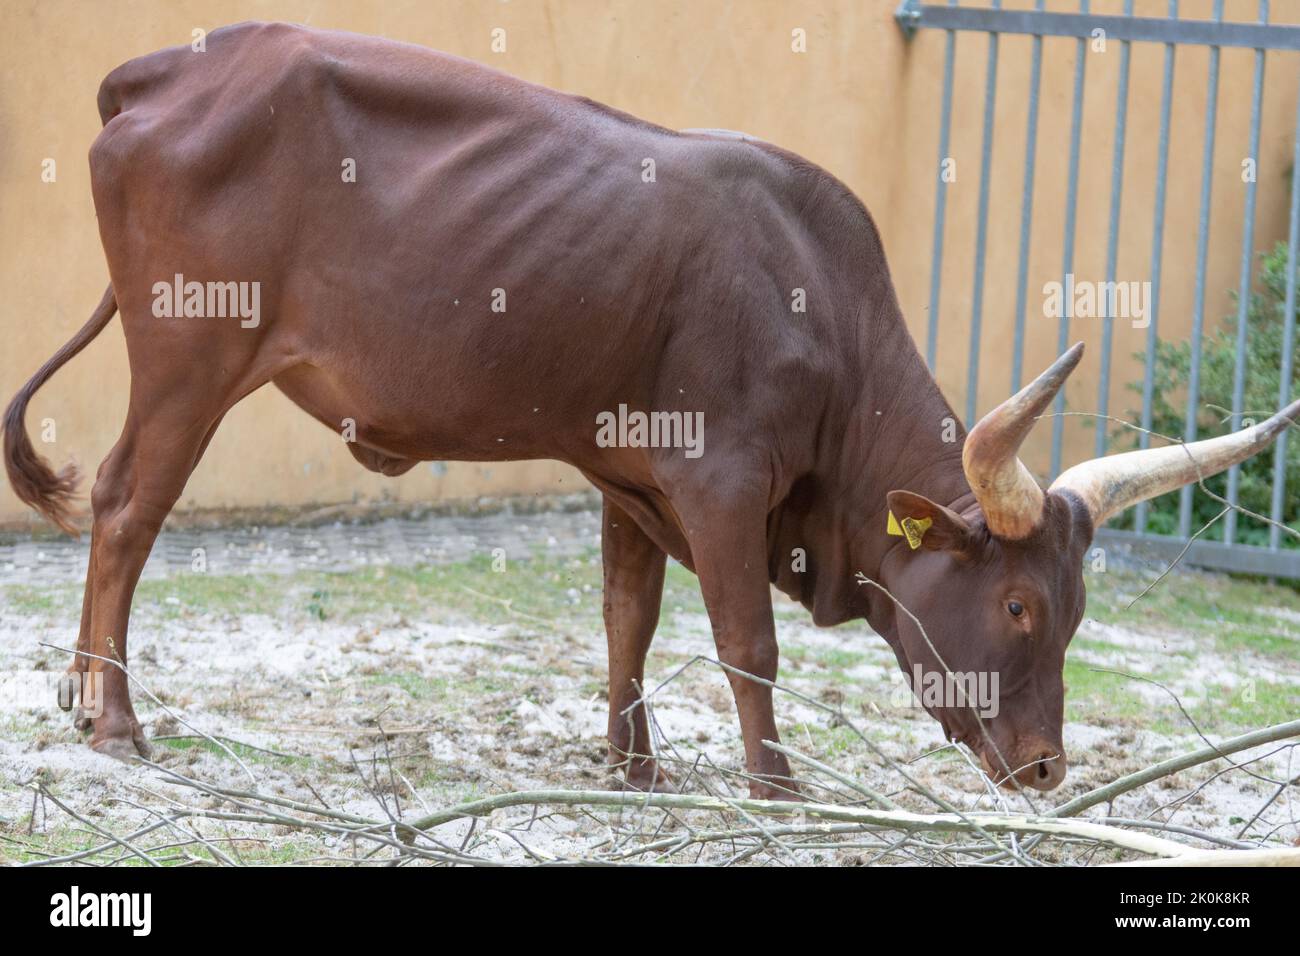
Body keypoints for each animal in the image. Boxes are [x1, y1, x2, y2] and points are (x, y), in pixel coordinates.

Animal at [2, 24, 1300, 801]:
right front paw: (773, 782)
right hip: (189, 363)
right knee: (125, 510)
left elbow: (627, 620)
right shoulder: (722, 486)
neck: (816, 303)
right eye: (1019, 603)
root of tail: (176, 69)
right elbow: (746, 643)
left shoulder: (627, 479)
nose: (1041, 768)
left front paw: (632, 764)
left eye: (1075, 612)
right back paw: (111, 717)